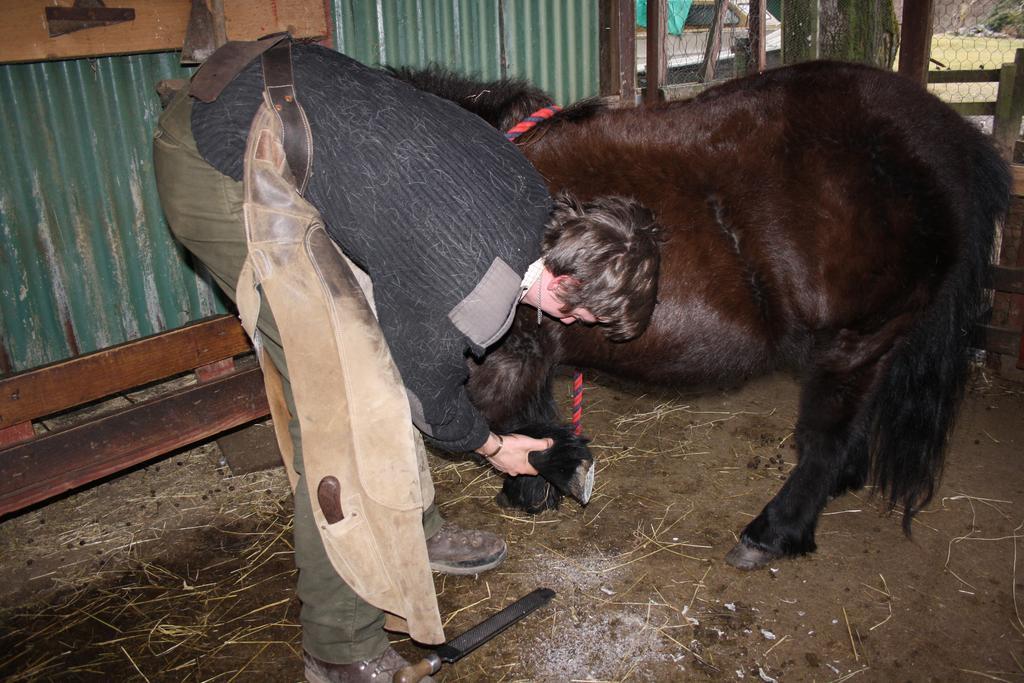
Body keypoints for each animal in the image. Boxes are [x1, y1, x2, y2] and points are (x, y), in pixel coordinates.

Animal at [389, 61, 1007, 569]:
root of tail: (952, 141)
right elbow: (526, 417)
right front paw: (536, 484)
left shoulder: (503, 351)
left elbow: (504, 419)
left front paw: (540, 478)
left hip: (858, 338)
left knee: (825, 438)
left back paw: (774, 532)